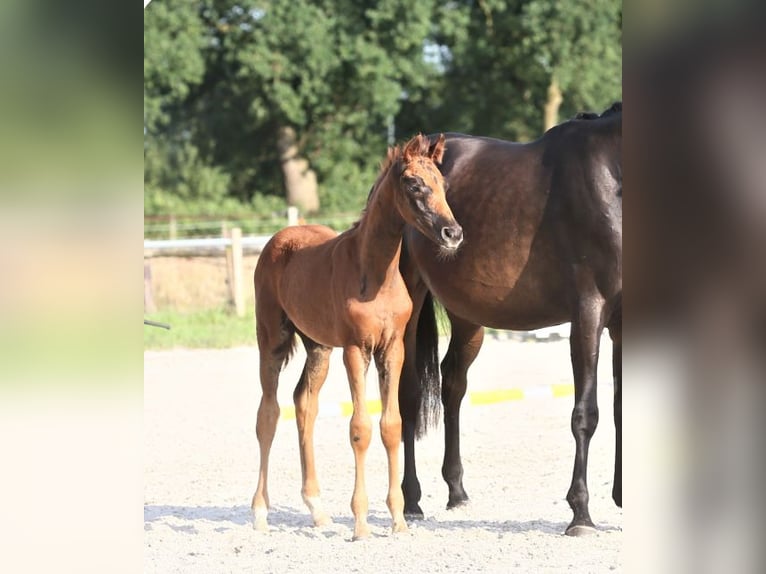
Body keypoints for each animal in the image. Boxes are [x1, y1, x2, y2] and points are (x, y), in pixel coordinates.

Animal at [402, 102, 624, 536]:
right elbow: (586, 414)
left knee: (453, 384)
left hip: (468, 318)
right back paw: (411, 499)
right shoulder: (589, 312)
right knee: (407, 395)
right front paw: (581, 514)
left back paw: (456, 490)